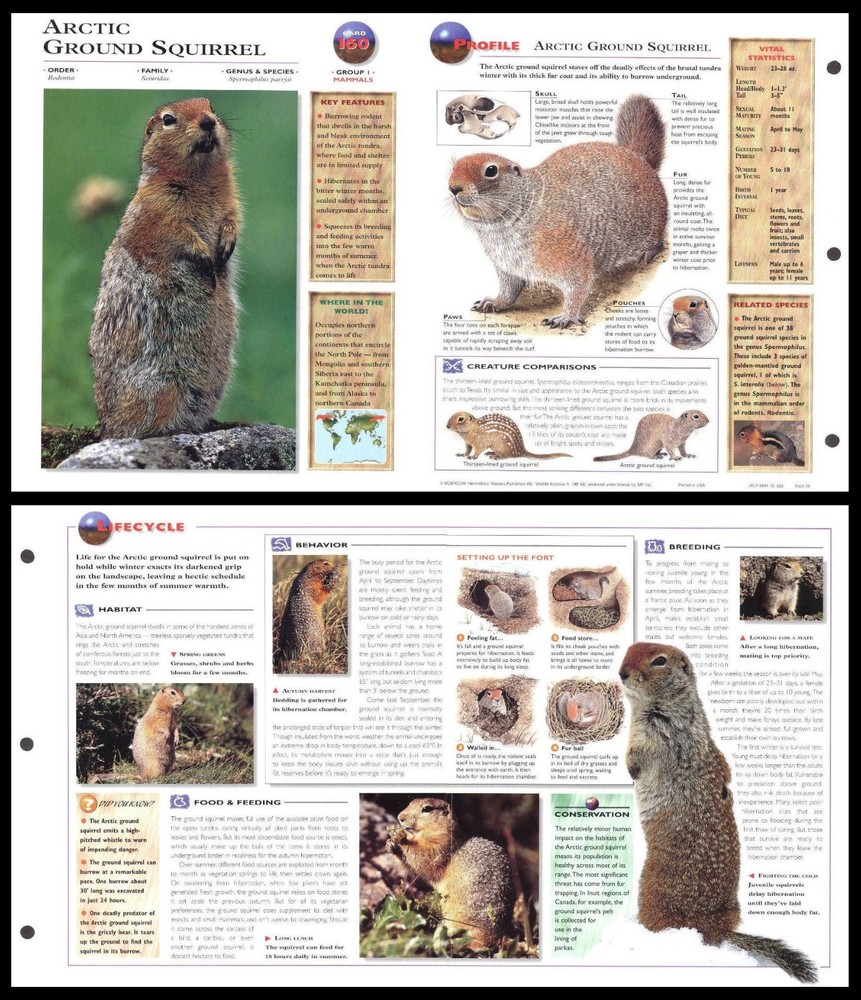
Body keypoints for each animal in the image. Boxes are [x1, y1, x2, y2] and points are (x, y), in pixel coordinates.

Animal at [89, 98, 241, 439]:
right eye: (168, 119)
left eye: (210, 105)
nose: (208, 121)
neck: (200, 178)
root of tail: (107, 427)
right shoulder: (156, 206)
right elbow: (171, 230)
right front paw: (205, 257)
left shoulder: (231, 198)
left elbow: (232, 217)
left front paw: (226, 244)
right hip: (162, 386)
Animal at [387, 797, 515, 950]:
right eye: (410, 803)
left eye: (427, 809)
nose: (400, 817)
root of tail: (500, 935)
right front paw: (391, 844)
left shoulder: (440, 844)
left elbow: (424, 856)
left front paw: (400, 837)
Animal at [449, 94, 667, 329]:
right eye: (454, 166)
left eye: (491, 170)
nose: (452, 188)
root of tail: (639, 158)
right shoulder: (507, 266)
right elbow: (509, 288)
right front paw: (493, 302)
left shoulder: (570, 253)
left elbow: (578, 286)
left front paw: (565, 317)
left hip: (651, 224)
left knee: (658, 241)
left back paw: (647, 254)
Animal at [619, 642, 817, 982]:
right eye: (629, 650)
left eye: (659, 661)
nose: (621, 673)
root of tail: (719, 928)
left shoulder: (657, 732)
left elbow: (640, 755)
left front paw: (630, 769)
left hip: (651, 891)